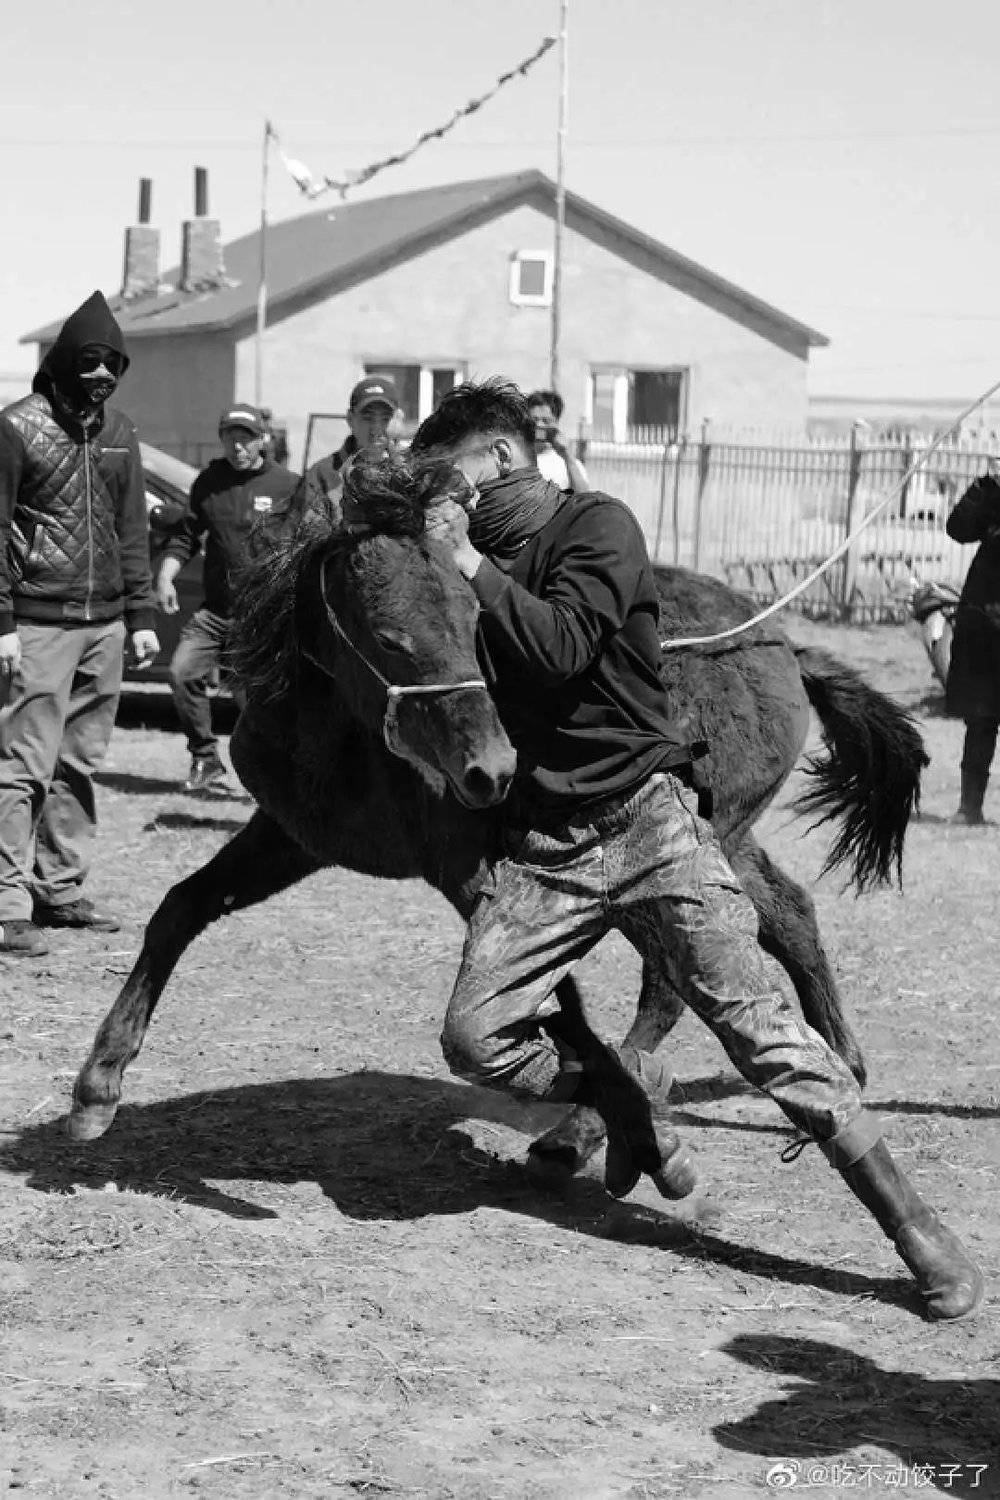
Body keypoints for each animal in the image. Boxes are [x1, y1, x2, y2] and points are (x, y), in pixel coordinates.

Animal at [68, 456, 929, 1182]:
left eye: (472, 618)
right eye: (390, 637)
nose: (492, 770)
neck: (344, 737)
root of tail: (778, 644)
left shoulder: (474, 875)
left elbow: (561, 1010)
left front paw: (623, 1120)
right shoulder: (291, 838)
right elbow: (181, 909)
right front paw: (96, 1089)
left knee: (672, 982)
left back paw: (593, 1128)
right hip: (724, 838)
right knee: (786, 914)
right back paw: (839, 1069)